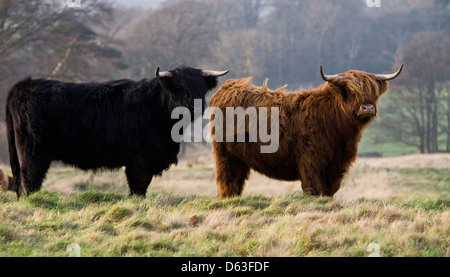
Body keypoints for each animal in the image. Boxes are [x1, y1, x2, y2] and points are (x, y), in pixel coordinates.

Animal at [4, 65, 227, 195]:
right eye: (179, 88)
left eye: (201, 88)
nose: (195, 106)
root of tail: (23, 85)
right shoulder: (140, 160)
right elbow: (138, 187)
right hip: (34, 151)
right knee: (31, 177)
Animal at [211, 63, 404, 196]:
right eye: (350, 91)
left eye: (373, 90)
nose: (368, 108)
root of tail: (229, 86)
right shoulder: (310, 161)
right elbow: (313, 189)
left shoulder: (338, 164)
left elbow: (329, 191)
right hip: (224, 154)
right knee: (226, 181)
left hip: (240, 158)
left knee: (236, 182)